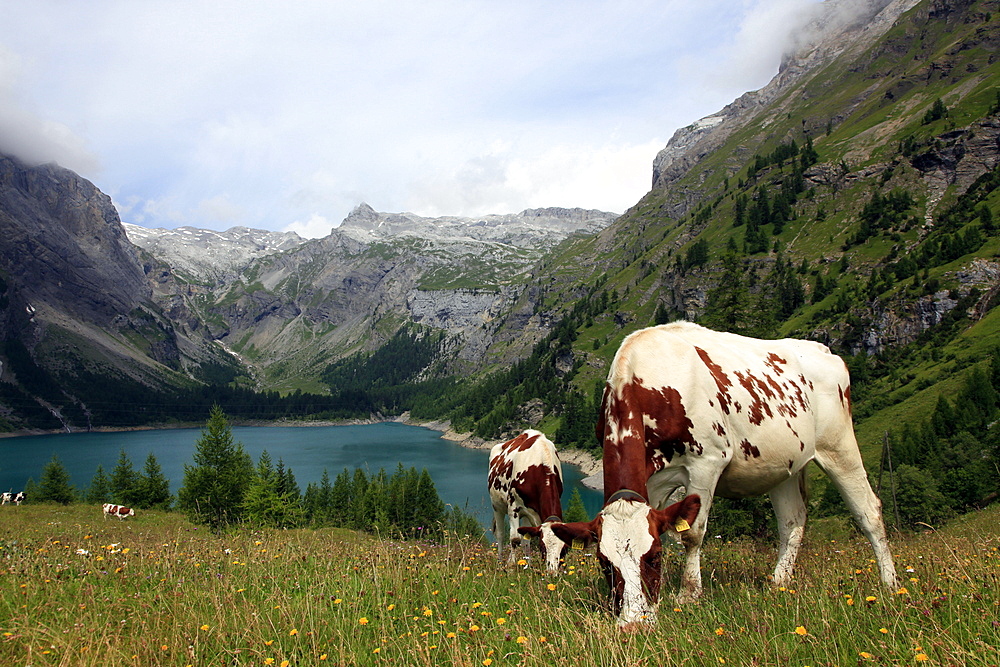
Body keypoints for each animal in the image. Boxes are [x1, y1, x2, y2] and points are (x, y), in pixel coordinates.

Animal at [488, 430, 568, 572]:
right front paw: (511, 566)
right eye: (542, 546)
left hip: (527, 513)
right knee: (500, 534)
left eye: (564, 549)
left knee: (525, 540)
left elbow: (526, 540)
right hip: (497, 506)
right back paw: (500, 562)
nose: (552, 572)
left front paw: (528, 566)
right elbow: (514, 539)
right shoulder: (513, 507)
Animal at [552, 324, 904, 628]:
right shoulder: (653, 482)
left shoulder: (706, 461)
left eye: (654, 557)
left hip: (838, 445)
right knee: (792, 521)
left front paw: (688, 595)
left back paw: (890, 584)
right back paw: (779, 582)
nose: (634, 624)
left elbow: (691, 533)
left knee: (869, 510)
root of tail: (824, 350)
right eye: (604, 562)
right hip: (785, 467)